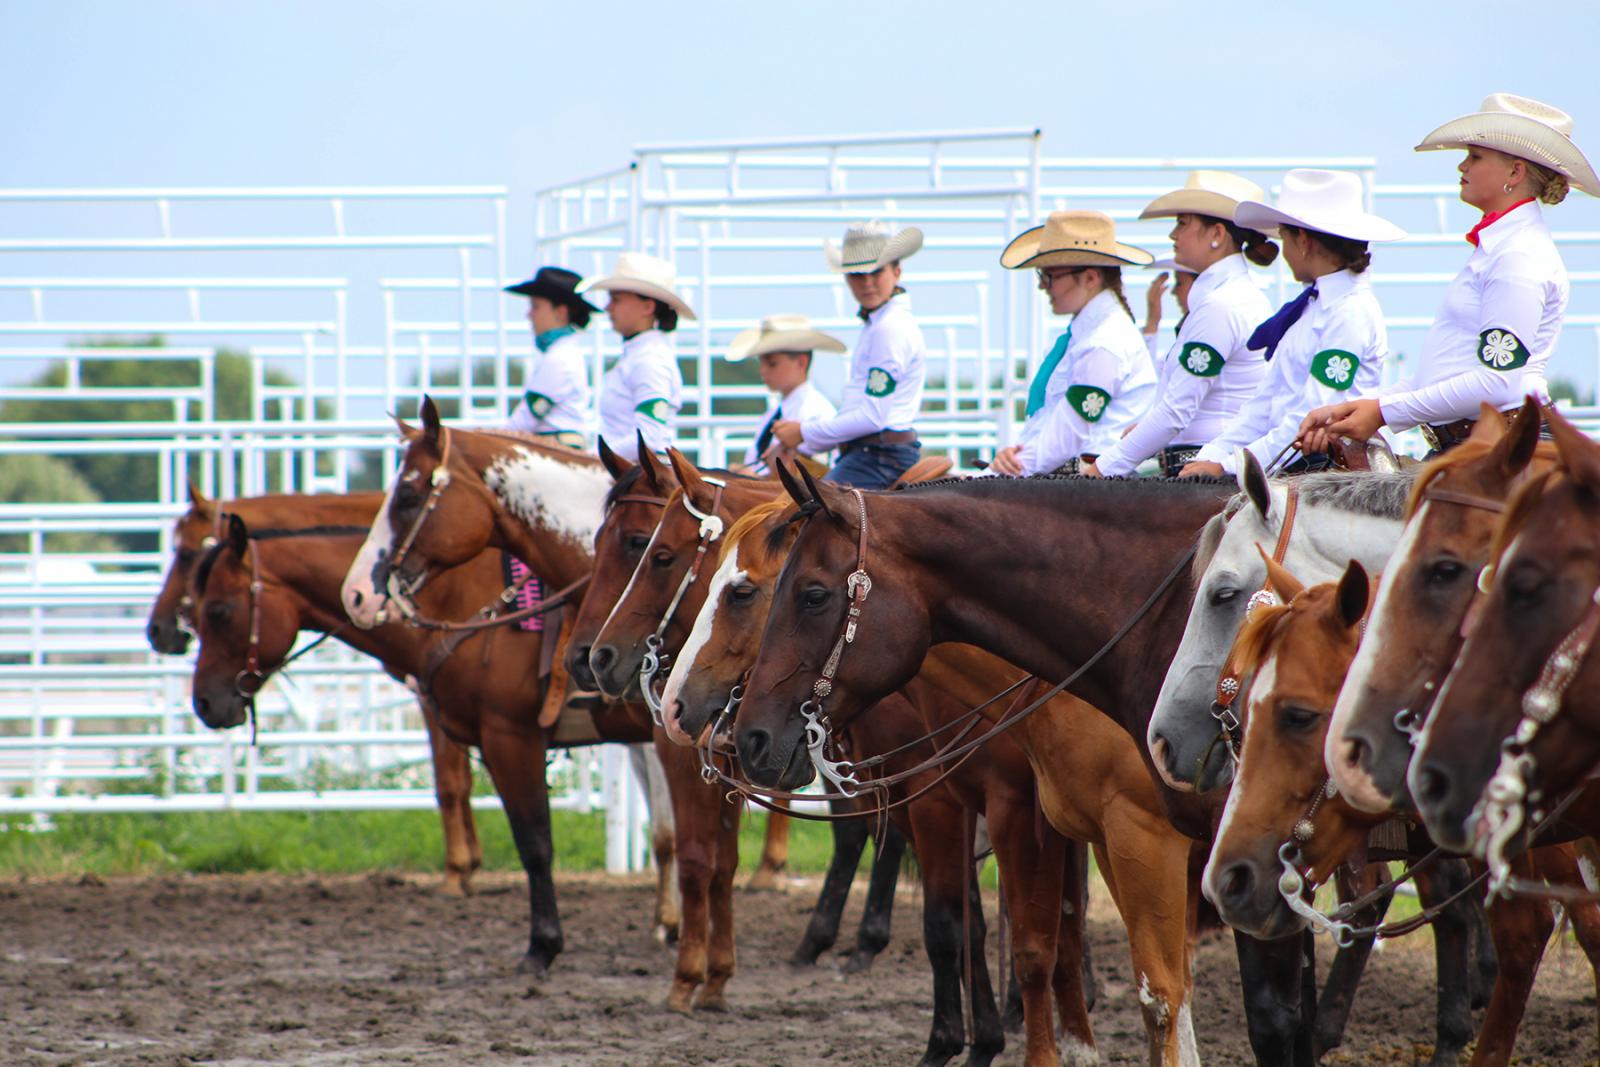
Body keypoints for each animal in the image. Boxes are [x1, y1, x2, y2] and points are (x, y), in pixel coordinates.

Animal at [150, 489, 486, 895]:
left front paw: (456, 871)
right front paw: (469, 866)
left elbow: (450, 782)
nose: (156, 629)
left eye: (186, 554)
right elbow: (461, 780)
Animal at [672, 495, 1190, 1062]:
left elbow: (1014, 942)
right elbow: (1012, 928)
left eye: (743, 591)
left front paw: (962, 1042)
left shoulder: (1006, 812)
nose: (677, 705)